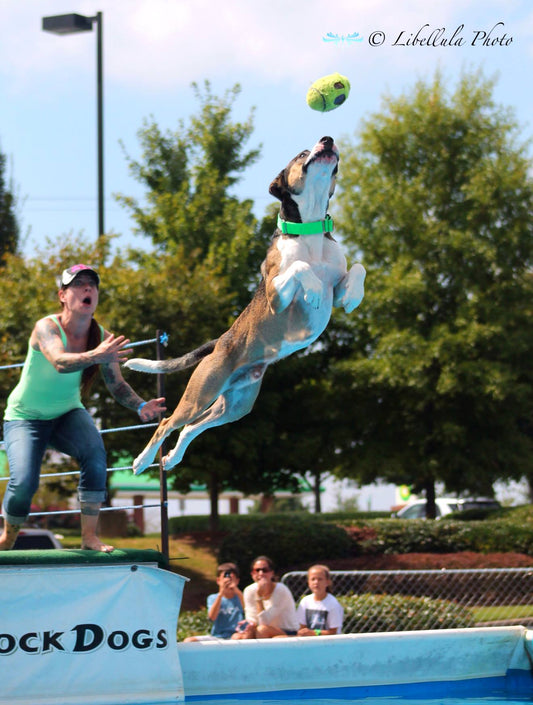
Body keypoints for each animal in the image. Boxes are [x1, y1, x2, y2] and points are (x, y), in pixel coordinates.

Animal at [125, 133, 366, 472]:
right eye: (302, 153)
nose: (327, 139)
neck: (309, 232)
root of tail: (219, 343)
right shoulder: (277, 297)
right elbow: (300, 268)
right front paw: (314, 290)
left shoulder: (338, 288)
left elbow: (357, 269)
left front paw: (354, 295)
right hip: (202, 392)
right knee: (168, 423)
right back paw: (143, 459)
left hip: (234, 405)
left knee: (190, 427)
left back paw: (172, 458)